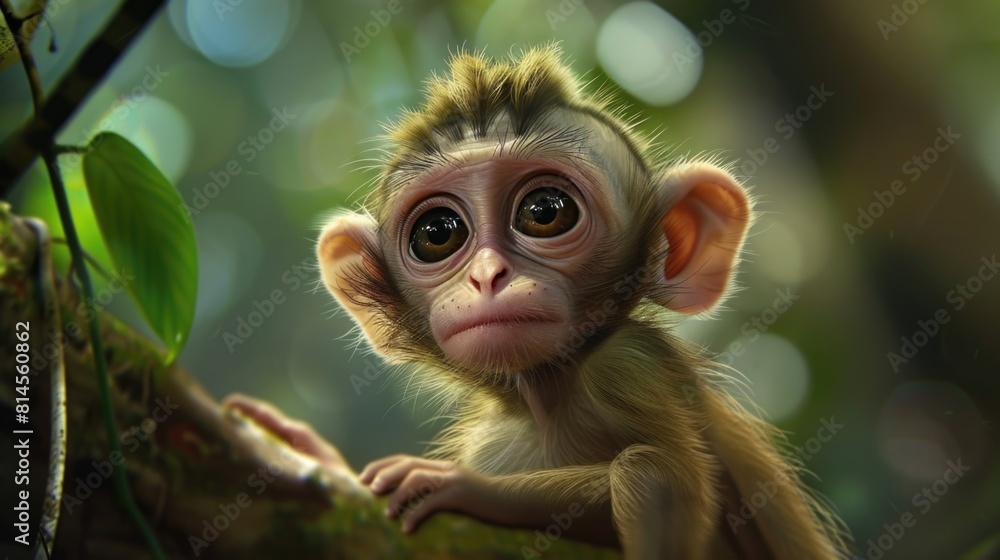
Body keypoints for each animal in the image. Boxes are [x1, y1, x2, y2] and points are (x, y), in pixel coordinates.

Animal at [225, 44, 850, 559]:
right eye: (437, 233)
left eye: (545, 211)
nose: (487, 276)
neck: (546, 395)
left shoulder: (627, 366)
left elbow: (666, 479)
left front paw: (456, 484)